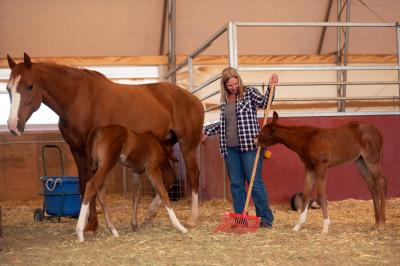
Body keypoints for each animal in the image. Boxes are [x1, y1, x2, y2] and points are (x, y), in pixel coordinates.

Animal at [6, 54, 205, 233]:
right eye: (8, 88)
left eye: (30, 86)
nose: (13, 125)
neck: (77, 98)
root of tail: (194, 99)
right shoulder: (77, 150)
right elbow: (83, 185)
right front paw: (89, 224)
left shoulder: (90, 153)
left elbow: (91, 185)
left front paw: (92, 225)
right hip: (165, 147)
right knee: (170, 177)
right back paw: (149, 215)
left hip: (187, 146)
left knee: (193, 175)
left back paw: (193, 219)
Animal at [258, 111, 386, 234]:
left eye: (263, 134)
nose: (255, 142)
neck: (306, 139)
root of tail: (377, 132)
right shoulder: (309, 167)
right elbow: (306, 193)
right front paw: (298, 225)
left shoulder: (322, 165)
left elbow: (321, 193)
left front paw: (325, 226)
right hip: (360, 161)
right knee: (372, 185)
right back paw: (376, 223)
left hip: (372, 159)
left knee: (381, 182)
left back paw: (382, 223)